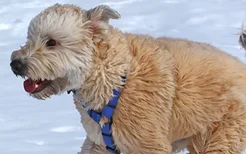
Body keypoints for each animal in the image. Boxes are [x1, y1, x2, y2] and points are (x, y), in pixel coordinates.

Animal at [10, 3, 246, 154]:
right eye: (29, 38)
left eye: (52, 42)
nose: (15, 64)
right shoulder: (98, 144)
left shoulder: (148, 144)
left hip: (219, 136)